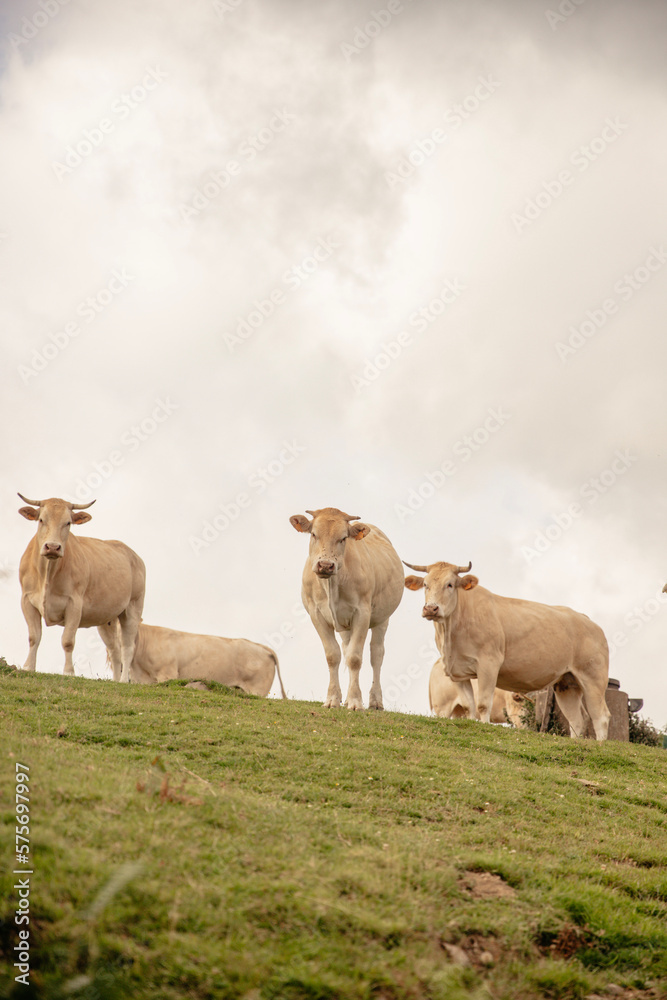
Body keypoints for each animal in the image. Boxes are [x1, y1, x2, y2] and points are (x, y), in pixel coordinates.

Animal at [17, 494, 145, 681]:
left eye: (68, 522)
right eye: (41, 520)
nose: (53, 547)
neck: (48, 572)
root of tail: (132, 554)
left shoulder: (74, 604)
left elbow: (68, 641)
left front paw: (69, 672)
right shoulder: (27, 600)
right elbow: (34, 637)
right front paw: (28, 667)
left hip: (132, 609)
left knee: (127, 648)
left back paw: (123, 681)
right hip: (106, 618)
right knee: (114, 649)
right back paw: (116, 681)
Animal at [289, 507, 404, 710]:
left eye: (343, 538)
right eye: (313, 534)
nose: (325, 565)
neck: (332, 584)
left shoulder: (362, 613)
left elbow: (355, 658)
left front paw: (356, 701)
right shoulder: (316, 614)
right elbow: (333, 655)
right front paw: (333, 699)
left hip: (382, 618)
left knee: (376, 654)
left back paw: (375, 701)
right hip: (345, 625)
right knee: (345, 647)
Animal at [404, 560, 610, 740]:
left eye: (450, 584)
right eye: (425, 584)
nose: (431, 608)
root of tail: (587, 620)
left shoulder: (489, 664)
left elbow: (483, 705)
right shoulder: (458, 673)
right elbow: (470, 706)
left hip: (593, 677)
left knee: (600, 716)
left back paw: (600, 745)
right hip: (567, 683)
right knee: (577, 719)